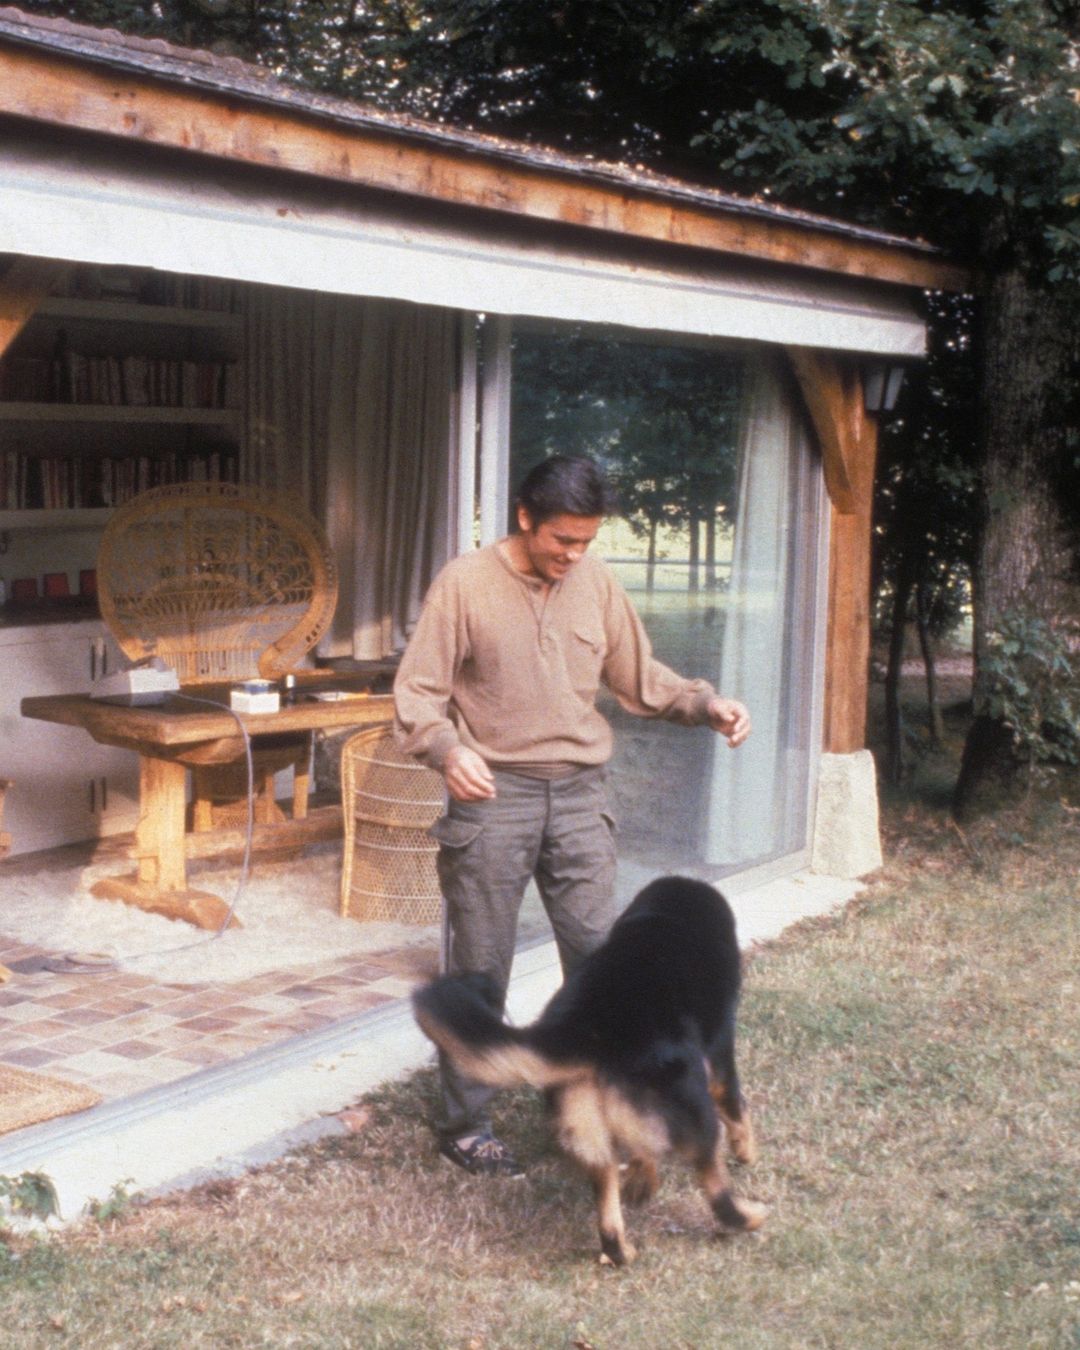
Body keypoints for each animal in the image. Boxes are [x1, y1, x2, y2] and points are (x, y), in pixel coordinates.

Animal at [410, 874, 761, 1263]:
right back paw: (751, 1217)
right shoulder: (719, 1060)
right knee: (717, 1194)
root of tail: (585, 1028)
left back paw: (625, 1241)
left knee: (611, 1217)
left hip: (592, 1129)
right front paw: (746, 1152)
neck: (669, 917)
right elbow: (737, 1111)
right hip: (695, 1112)